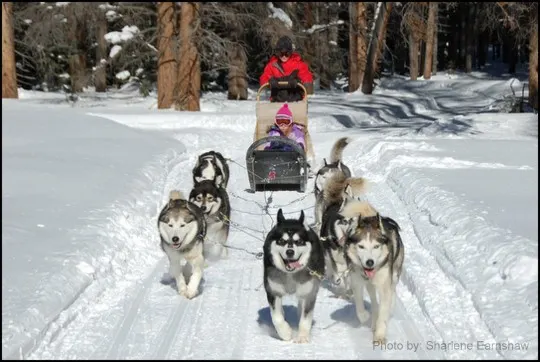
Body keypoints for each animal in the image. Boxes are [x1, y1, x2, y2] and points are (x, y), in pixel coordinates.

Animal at [340, 199, 402, 344]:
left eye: (376, 246)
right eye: (361, 246)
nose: (370, 262)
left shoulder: (384, 286)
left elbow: (384, 311)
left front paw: (380, 335)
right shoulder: (356, 282)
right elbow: (359, 307)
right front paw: (365, 316)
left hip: (394, 275)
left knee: (392, 291)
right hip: (370, 286)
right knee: (374, 301)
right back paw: (373, 318)